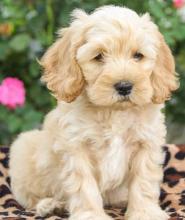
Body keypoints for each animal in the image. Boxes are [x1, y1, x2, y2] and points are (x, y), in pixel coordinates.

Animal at [9, 5, 178, 220]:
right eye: (99, 56)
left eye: (138, 55)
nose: (124, 86)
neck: (114, 112)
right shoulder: (75, 147)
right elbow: (84, 186)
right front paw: (91, 215)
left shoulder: (146, 143)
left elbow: (143, 181)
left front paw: (145, 212)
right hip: (22, 150)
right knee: (30, 198)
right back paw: (50, 205)